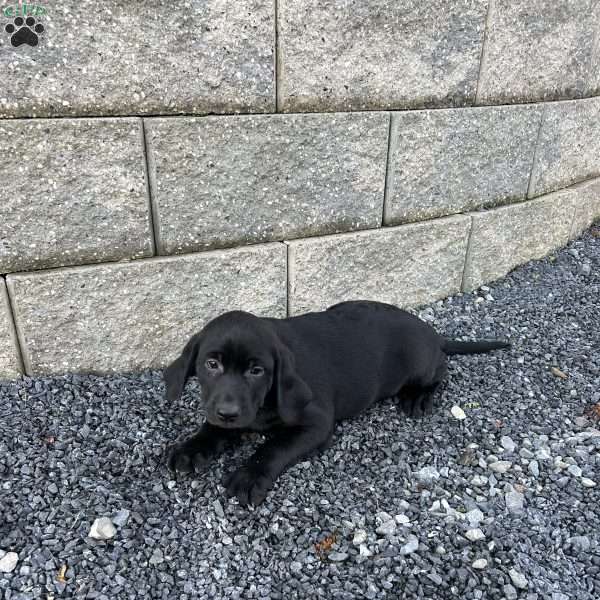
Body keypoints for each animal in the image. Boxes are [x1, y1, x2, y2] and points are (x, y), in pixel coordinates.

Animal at [165, 300, 510, 506]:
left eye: (256, 371)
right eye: (211, 364)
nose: (229, 413)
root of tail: (434, 334)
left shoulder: (316, 423)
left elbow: (274, 447)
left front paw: (251, 475)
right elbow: (211, 428)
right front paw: (191, 448)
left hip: (420, 363)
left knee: (441, 370)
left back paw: (420, 397)